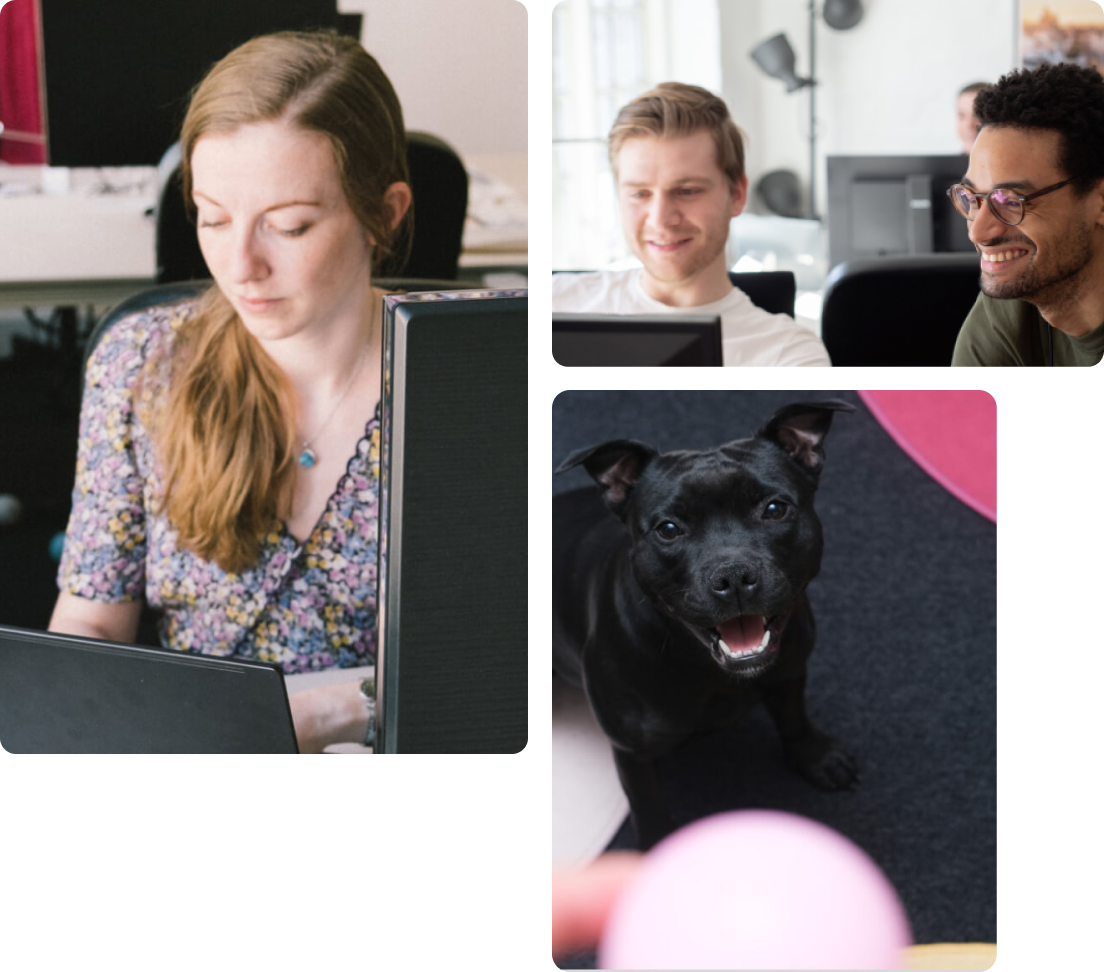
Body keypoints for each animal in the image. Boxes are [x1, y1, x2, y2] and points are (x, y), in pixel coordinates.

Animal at [556, 397, 856, 848]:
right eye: (668, 529)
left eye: (774, 509)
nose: (732, 576)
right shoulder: (633, 754)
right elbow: (649, 808)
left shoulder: (790, 671)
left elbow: (794, 717)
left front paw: (815, 755)